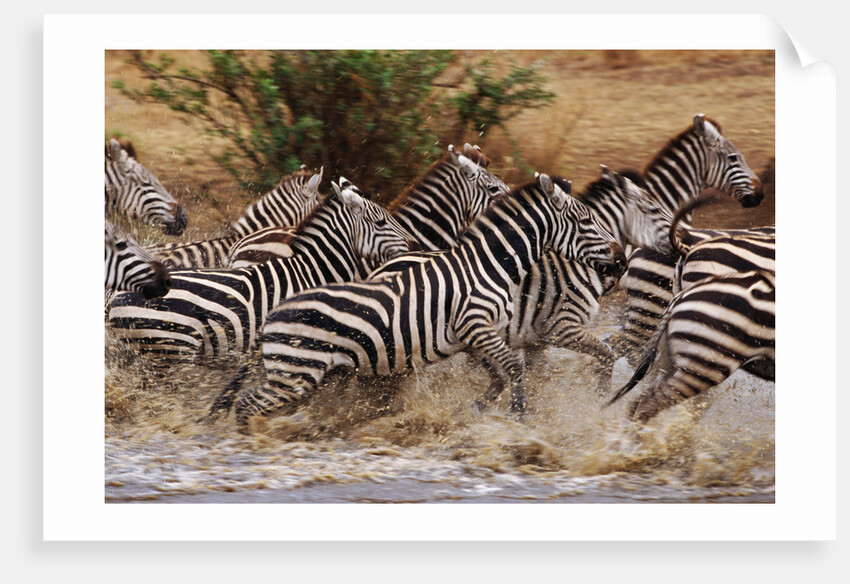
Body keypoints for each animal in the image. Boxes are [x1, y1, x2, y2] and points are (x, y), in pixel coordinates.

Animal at [214, 173, 625, 429]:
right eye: (586, 221)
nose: (621, 259)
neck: (488, 266)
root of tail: (274, 313)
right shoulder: (481, 325)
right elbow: (514, 368)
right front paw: (521, 416)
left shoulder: (475, 336)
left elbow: (501, 373)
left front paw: (475, 410)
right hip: (296, 372)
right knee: (248, 402)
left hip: (302, 372)